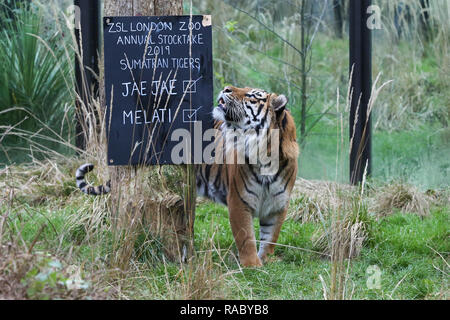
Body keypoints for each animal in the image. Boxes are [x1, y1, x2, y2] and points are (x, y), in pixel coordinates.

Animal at [75, 85, 298, 268]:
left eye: (251, 95)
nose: (226, 88)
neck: (266, 157)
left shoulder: (278, 205)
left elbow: (270, 238)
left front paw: (264, 261)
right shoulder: (239, 201)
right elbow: (246, 238)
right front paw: (252, 266)